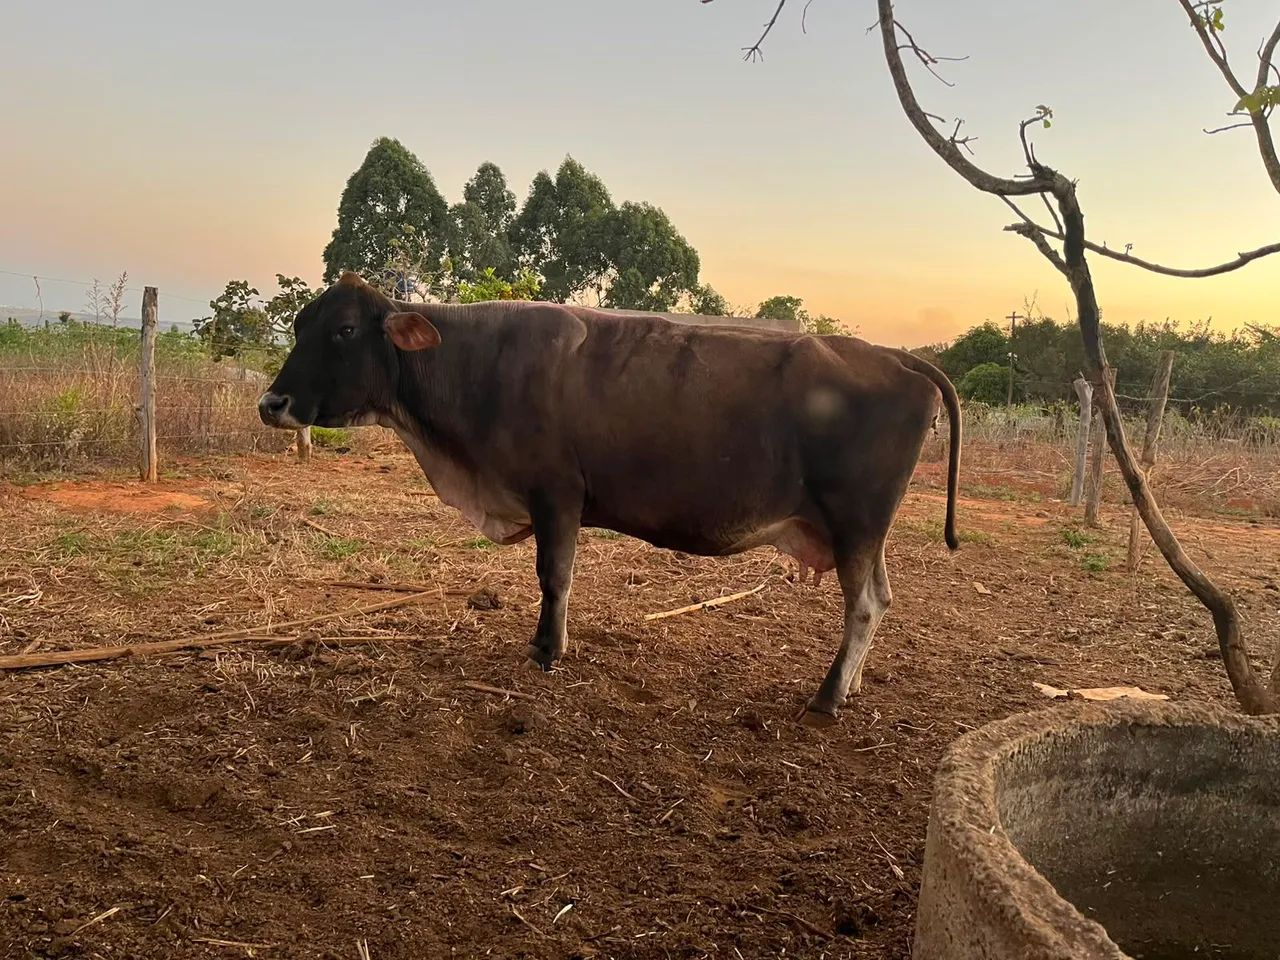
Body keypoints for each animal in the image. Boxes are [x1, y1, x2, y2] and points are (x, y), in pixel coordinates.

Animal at [258, 272, 961, 724]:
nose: (272, 403)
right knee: (880, 599)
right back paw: (854, 683)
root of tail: (897, 357)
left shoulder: (556, 494)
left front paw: (547, 649)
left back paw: (828, 696)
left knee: (863, 605)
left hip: (855, 521)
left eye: (346, 330)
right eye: (300, 323)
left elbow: (554, 576)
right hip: (862, 533)